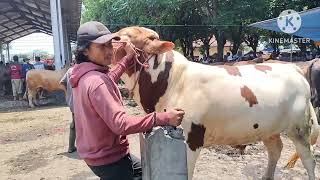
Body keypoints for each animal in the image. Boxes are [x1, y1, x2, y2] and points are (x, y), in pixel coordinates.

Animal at [114, 27, 318, 180]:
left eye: (123, 37)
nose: (110, 37)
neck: (172, 81)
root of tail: (293, 68)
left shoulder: (191, 138)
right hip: (268, 128)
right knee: (275, 150)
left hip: (298, 127)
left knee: (308, 159)